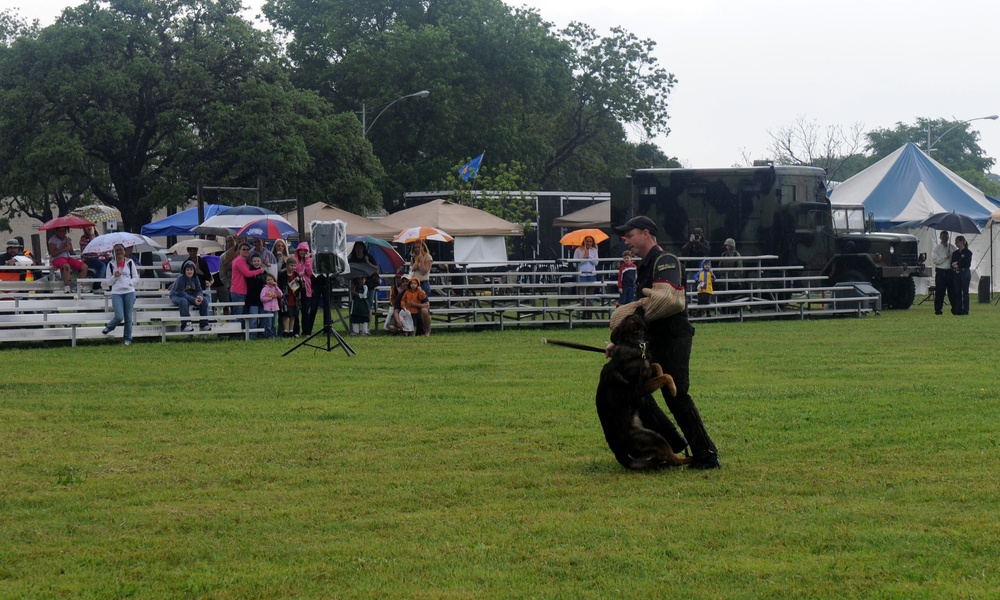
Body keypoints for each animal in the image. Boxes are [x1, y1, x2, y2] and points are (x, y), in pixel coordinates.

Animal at [592, 308, 688, 472]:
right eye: (636, 316)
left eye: (631, 315)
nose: (640, 307)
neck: (632, 343)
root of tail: (618, 452)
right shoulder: (640, 388)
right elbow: (666, 376)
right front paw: (673, 389)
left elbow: (656, 365)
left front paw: (659, 372)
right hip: (656, 438)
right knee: (673, 460)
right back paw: (692, 460)